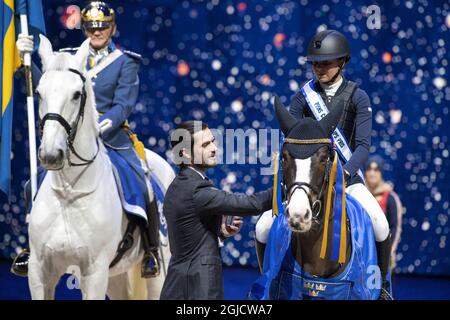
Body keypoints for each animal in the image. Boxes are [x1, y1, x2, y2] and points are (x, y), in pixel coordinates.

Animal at [27, 35, 172, 300]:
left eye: (76, 94)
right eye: (39, 93)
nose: (51, 154)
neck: (69, 191)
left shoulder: (94, 274)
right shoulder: (38, 271)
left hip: (158, 274)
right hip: (116, 277)